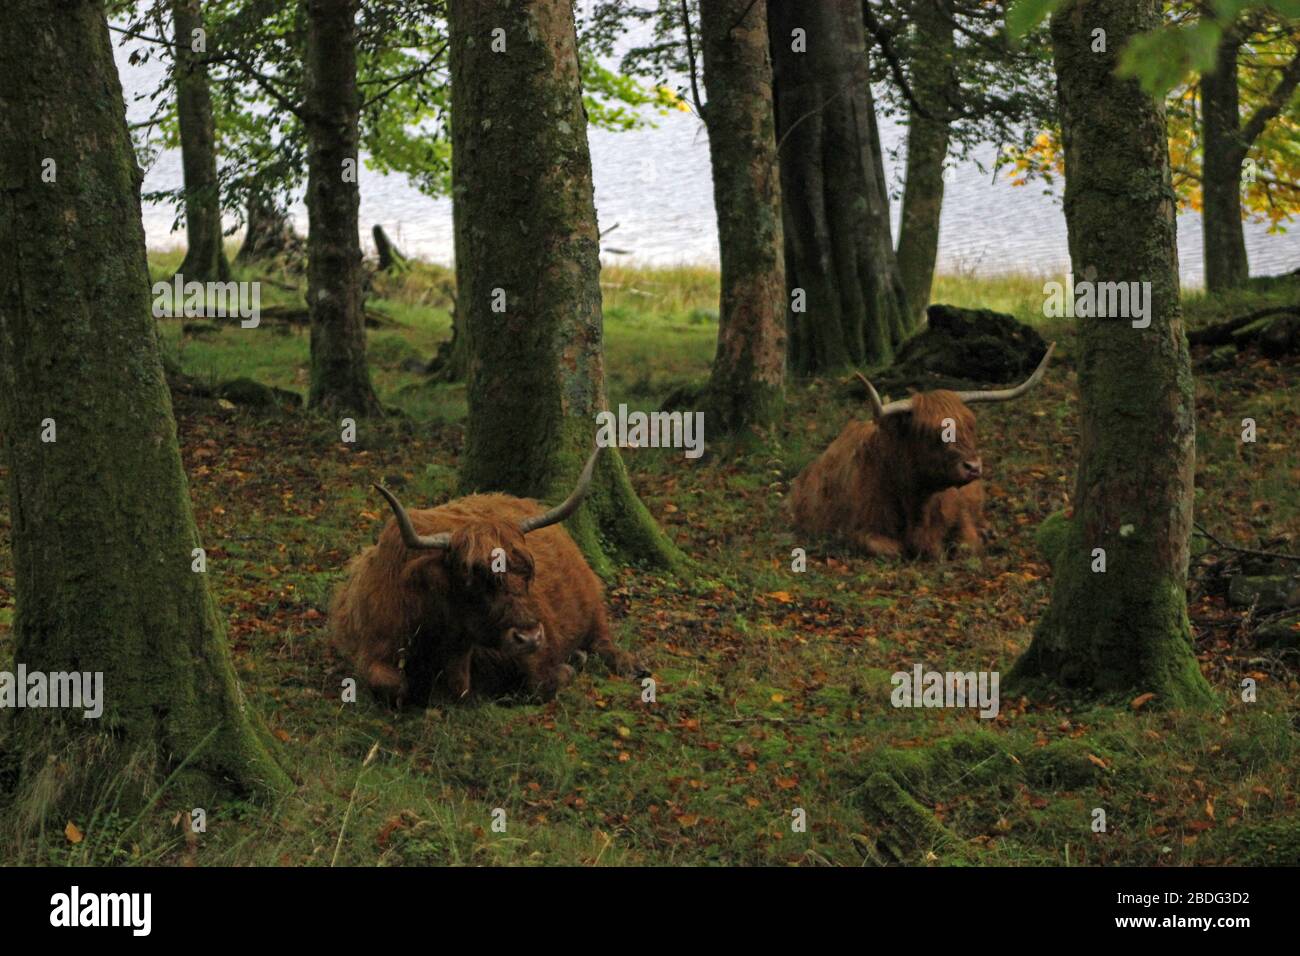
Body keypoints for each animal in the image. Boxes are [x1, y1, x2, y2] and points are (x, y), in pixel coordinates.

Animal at [329, 448, 641, 706]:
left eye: (527, 575)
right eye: (473, 581)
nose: (529, 637)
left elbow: (542, 682)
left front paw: (571, 664)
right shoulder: (373, 647)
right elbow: (394, 687)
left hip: (591, 601)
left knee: (603, 639)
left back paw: (628, 664)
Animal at [789, 345, 1054, 559]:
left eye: (970, 426)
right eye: (932, 432)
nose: (973, 467)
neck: (918, 503)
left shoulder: (961, 520)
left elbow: (967, 546)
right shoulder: (858, 530)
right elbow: (892, 550)